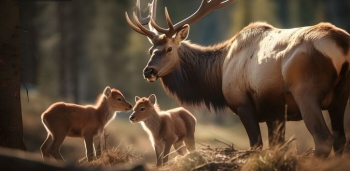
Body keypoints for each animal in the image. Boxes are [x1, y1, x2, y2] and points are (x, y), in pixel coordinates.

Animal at [126, 0, 350, 158]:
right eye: (150, 51)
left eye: (169, 48)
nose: (148, 71)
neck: (219, 72)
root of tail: (341, 44)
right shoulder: (275, 112)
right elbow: (276, 146)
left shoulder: (242, 103)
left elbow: (256, 145)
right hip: (340, 97)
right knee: (340, 139)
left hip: (306, 93)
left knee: (323, 138)